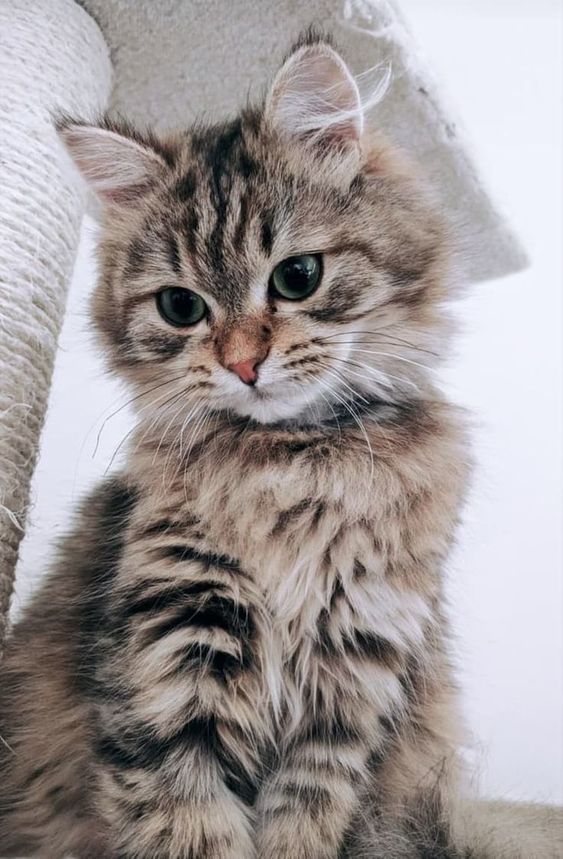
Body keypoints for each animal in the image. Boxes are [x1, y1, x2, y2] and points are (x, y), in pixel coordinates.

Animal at [0, 30, 560, 859]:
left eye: (297, 276)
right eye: (180, 307)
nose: (242, 363)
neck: (292, 465)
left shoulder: (352, 682)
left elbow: (304, 827)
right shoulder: (173, 651)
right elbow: (192, 827)